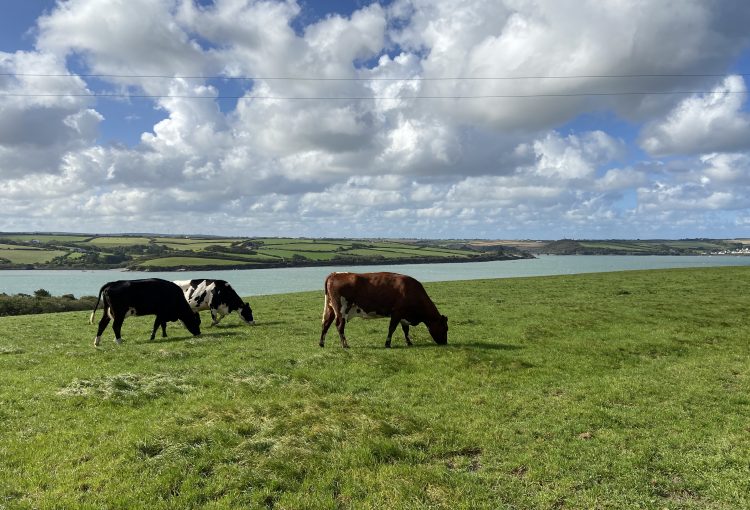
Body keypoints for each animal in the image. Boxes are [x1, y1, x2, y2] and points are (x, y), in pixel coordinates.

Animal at [320, 272, 450, 348]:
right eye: (445, 328)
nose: (445, 343)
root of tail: (335, 274)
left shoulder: (403, 315)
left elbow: (405, 330)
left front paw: (409, 343)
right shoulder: (397, 312)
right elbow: (392, 329)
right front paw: (387, 344)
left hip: (330, 308)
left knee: (326, 324)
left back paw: (321, 343)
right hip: (342, 309)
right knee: (339, 326)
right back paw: (345, 345)